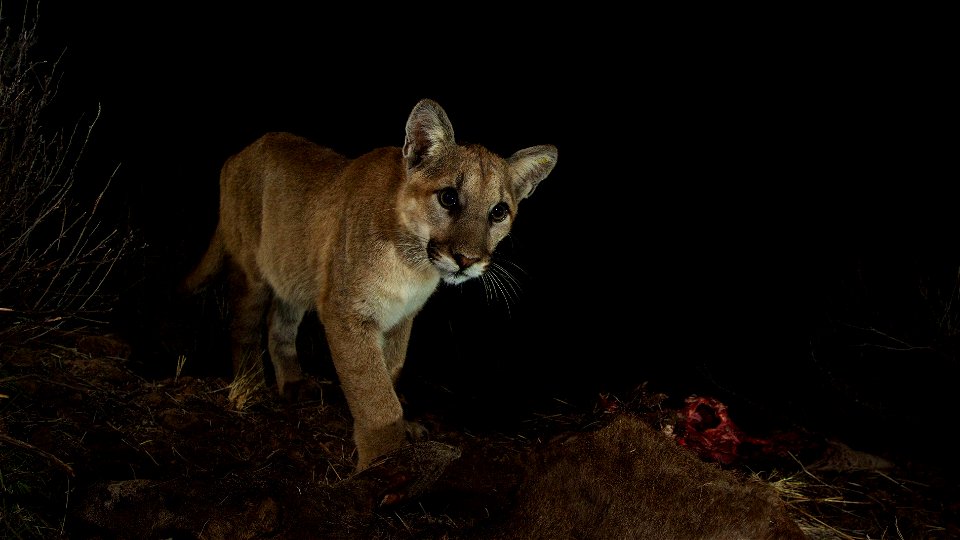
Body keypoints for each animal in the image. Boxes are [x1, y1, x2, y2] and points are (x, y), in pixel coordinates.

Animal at [182, 99, 556, 470]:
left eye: (498, 212)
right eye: (449, 198)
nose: (466, 259)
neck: (413, 264)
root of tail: (239, 153)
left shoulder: (401, 318)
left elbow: (389, 372)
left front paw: (401, 435)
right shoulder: (346, 312)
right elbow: (373, 393)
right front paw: (383, 461)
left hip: (294, 271)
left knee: (279, 324)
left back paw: (293, 384)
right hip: (252, 271)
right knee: (242, 326)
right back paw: (250, 390)